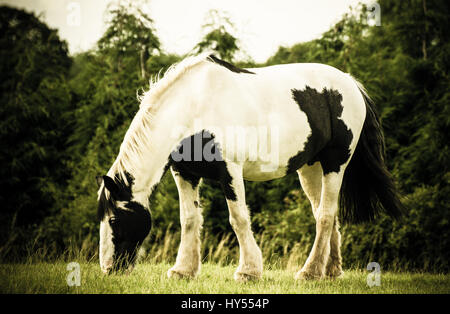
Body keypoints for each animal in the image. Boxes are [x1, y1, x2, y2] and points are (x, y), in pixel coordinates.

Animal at [96, 53, 402, 280]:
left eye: (114, 220)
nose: (108, 268)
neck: (195, 108)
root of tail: (350, 83)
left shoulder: (230, 171)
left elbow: (239, 218)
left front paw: (249, 271)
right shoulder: (184, 173)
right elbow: (189, 219)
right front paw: (183, 270)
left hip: (335, 164)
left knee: (325, 215)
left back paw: (309, 272)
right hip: (310, 168)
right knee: (326, 214)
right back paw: (330, 270)